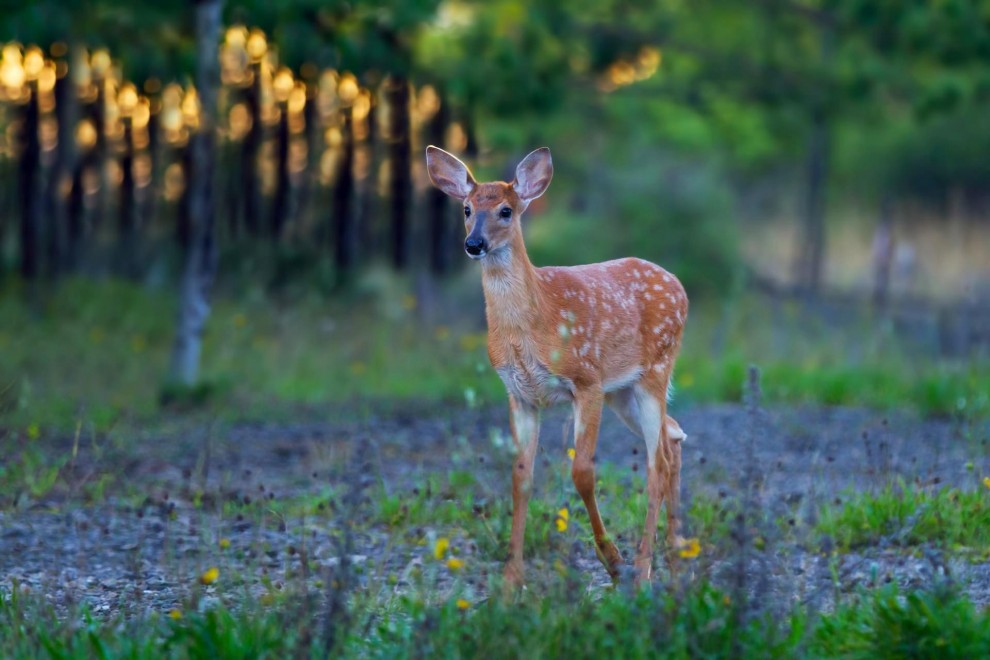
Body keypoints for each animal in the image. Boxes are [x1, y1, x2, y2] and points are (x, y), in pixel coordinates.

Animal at [426, 146, 688, 588]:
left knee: (657, 462)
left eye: (506, 210)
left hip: (655, 370)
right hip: (624, 392)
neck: (532, 326)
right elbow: (520, 478)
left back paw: (643, 569)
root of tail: (680, 286)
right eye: (466, 209)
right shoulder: (520, 394)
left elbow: (582, 472)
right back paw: (675, 560)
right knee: (672, 439)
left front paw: (613, 561)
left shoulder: (587, 380)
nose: (473, 243)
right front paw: (510, 583)